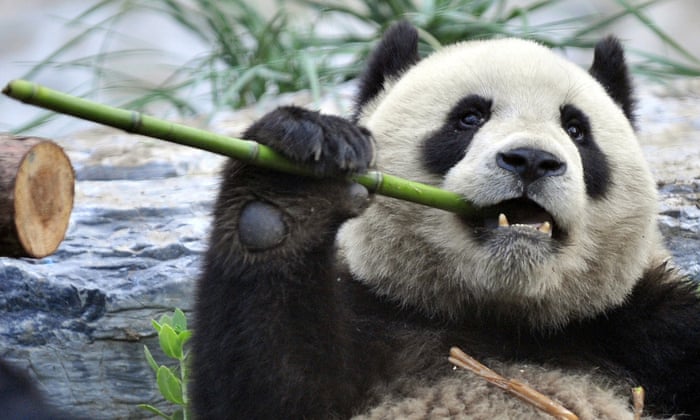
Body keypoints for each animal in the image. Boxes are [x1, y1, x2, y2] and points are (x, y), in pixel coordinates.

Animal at [191, 21, 700, 419]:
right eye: (470, 117)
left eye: (577, 129)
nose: (532, 160)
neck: (501, 318)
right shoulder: (373, 315)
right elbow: (269, 389)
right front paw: (289, 185)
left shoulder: (644, 328)